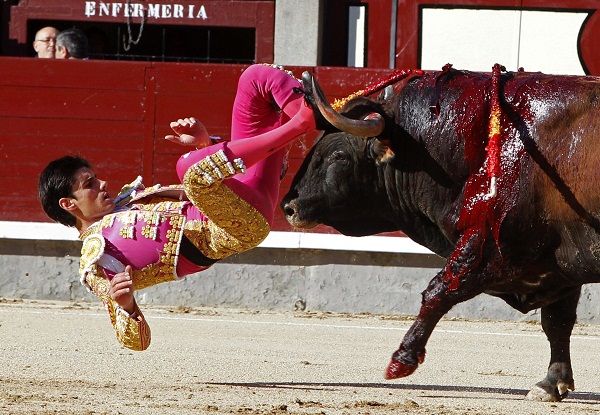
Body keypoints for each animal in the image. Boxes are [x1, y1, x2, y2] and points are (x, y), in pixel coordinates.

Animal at [280, 67, 600, 404]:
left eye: (338, 155)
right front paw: (552, 382)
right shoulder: (559, 267)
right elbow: (557, 322)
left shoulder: (489, 246)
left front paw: (401, 361)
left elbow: (440, 291)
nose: (289, 206)